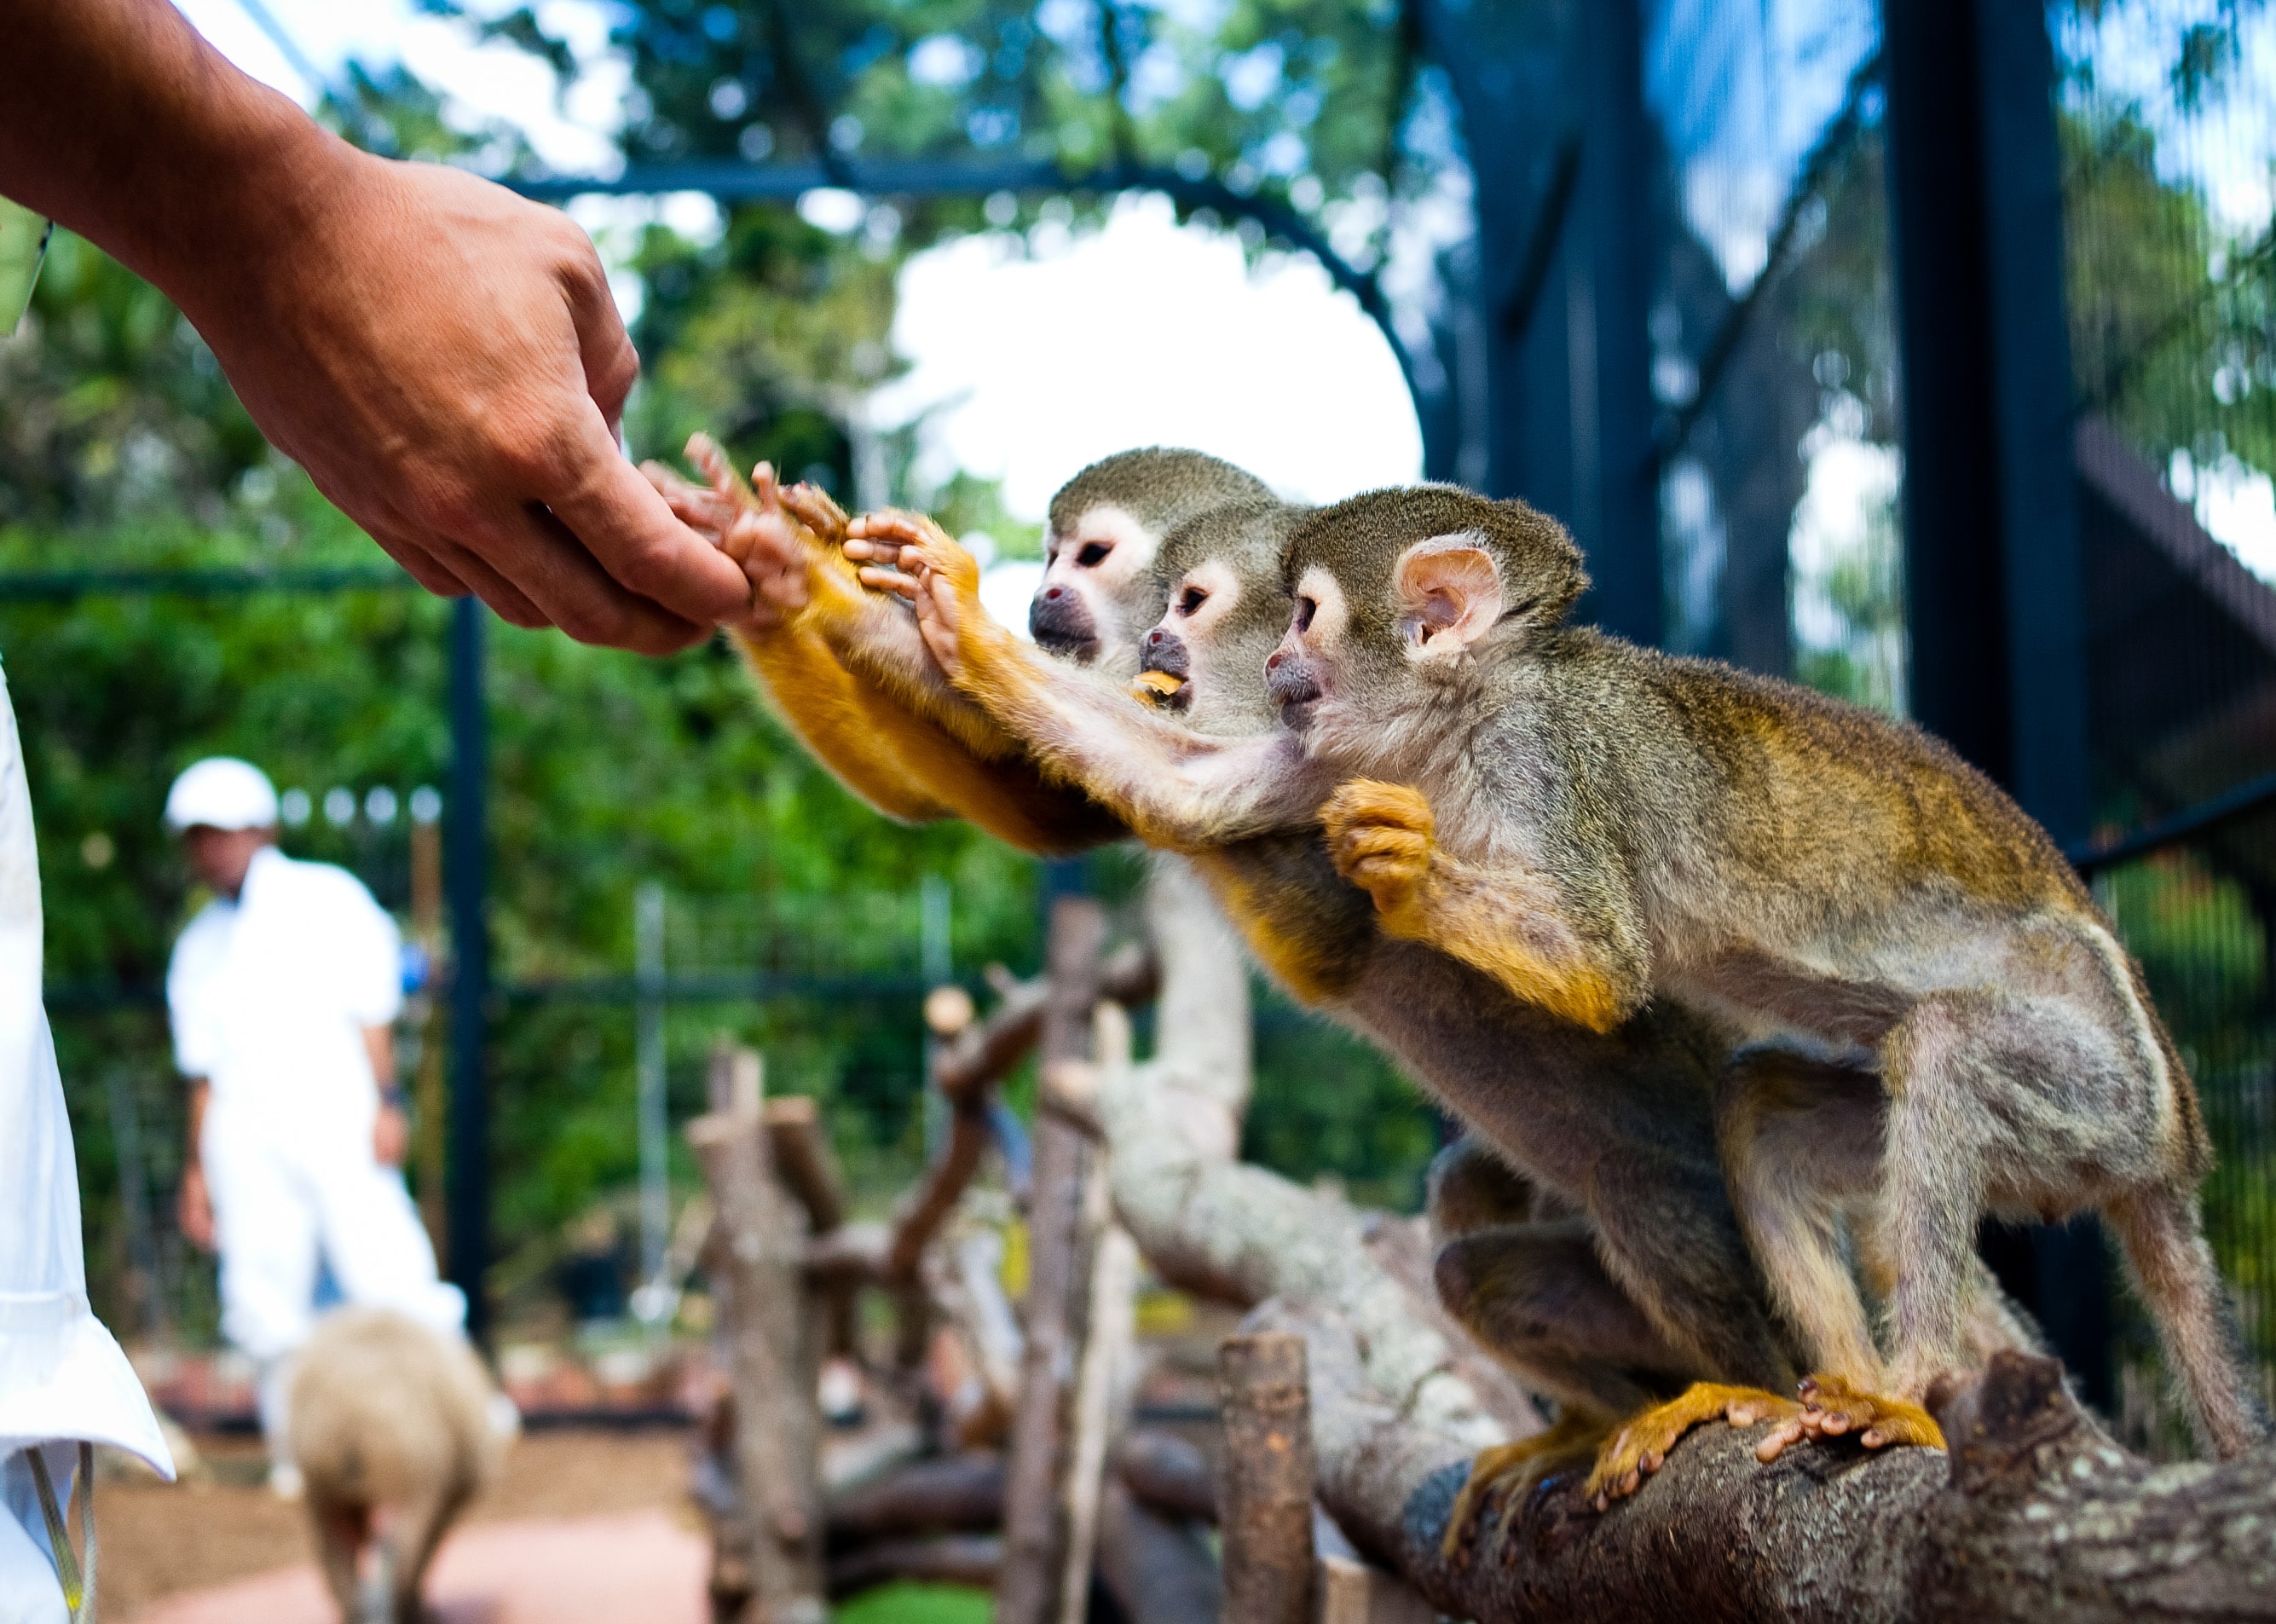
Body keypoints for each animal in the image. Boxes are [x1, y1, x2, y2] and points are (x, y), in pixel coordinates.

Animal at [1256, 487, 2267, 1466]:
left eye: (1304, 615)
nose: (1271, 662)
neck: (1475, 704)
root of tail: (2181, 1145)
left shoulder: (1537, 763)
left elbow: (1599, 965)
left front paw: (1407, 870)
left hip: (2099, 1095)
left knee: (1947, 1047)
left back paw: (1909, 1384)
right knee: (1762, 1106)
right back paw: (1822, 1386)